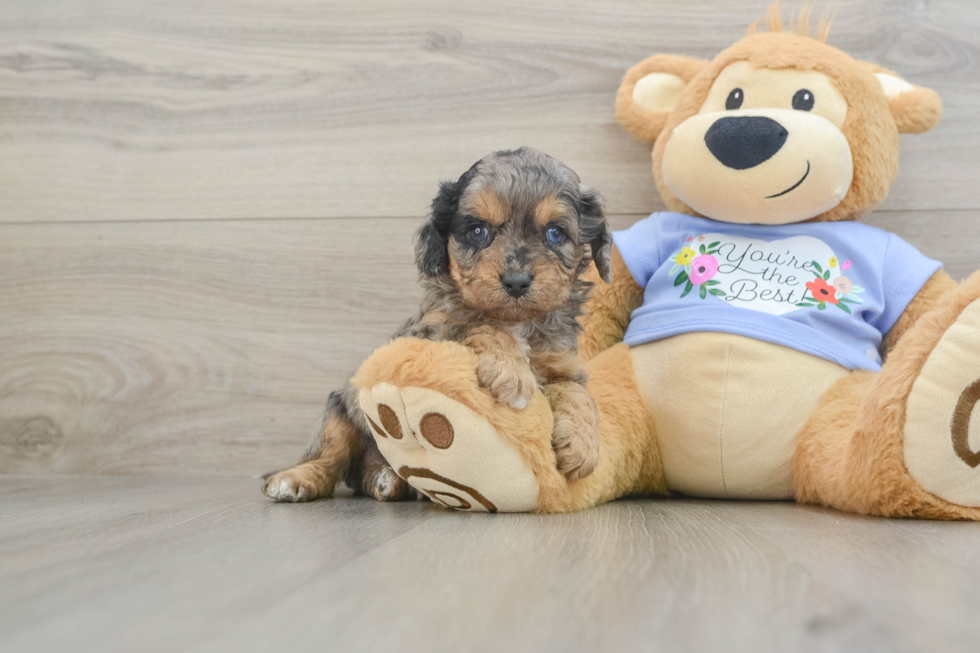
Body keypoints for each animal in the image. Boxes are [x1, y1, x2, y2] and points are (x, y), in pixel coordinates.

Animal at [264, 148, 608, 502]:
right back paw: (295, 478)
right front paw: (510, 370)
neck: (516, 322)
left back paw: (385, 480)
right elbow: (471, 323)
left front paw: (583, 445)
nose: (516, 281)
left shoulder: (562, 364)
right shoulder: (426, 334)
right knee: (329, 455)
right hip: (339, 410)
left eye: (555, 233)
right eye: (478, 231)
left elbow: (579, 394)